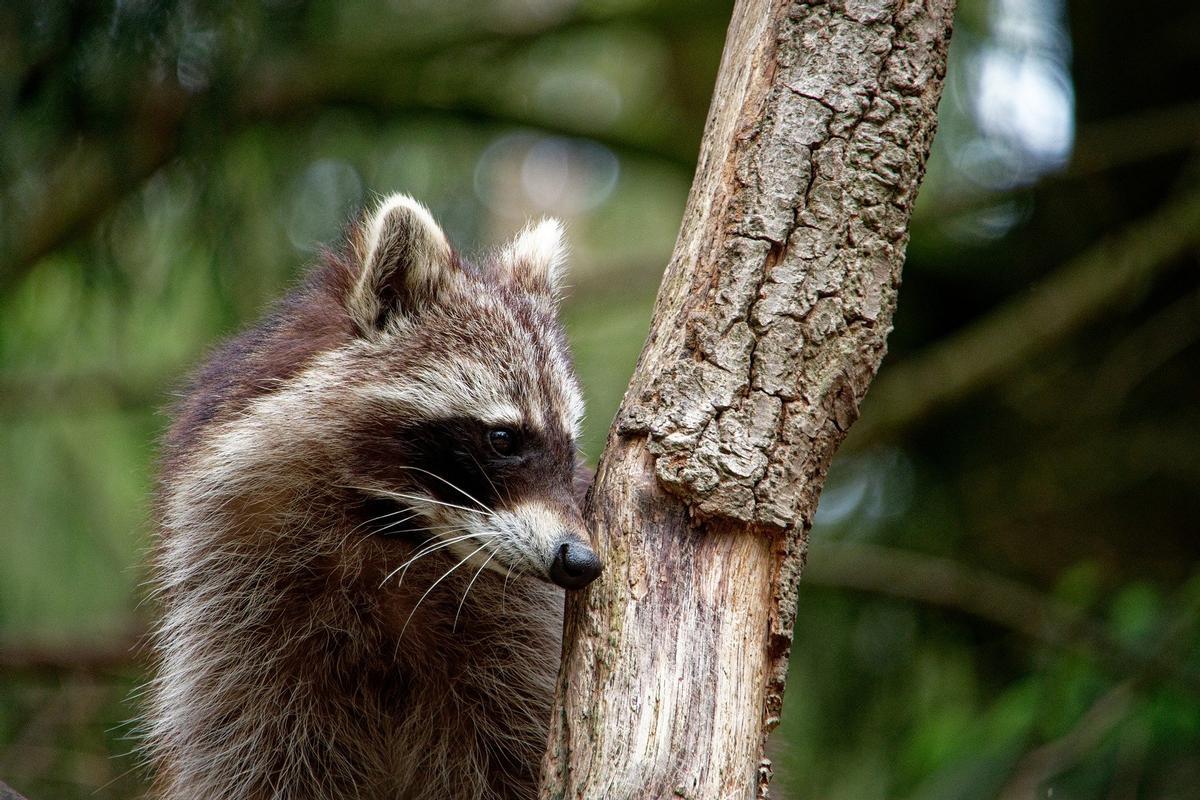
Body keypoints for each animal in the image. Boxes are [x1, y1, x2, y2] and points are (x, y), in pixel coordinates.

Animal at [146, 194, 604, 800]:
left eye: (569, 448)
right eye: (503, 438)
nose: (582, 560)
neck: (394, 535)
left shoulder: (517, 639)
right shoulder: (237, 622)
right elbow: (250, 757)